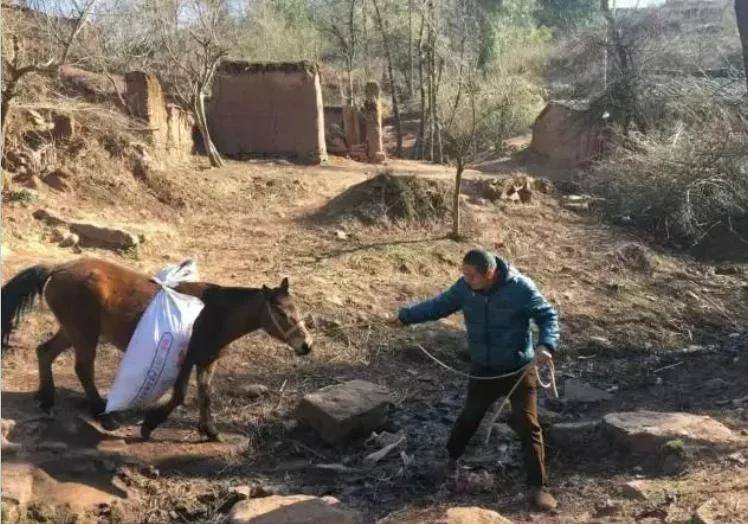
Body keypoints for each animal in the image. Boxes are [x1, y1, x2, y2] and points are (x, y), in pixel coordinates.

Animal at [2, 258, 312, 442]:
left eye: (297, 309)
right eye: (281, 313)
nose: (306, 345)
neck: (213, 312)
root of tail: (59, 268)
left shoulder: (207, 361)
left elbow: (205, 395)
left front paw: (210, 431)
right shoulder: (187, 360)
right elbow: (179, 396)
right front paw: (149, 425)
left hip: (71, 330)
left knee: (44, 352)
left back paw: (47, 398)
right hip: (84, 334)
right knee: (83, 369)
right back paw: (103, 414)